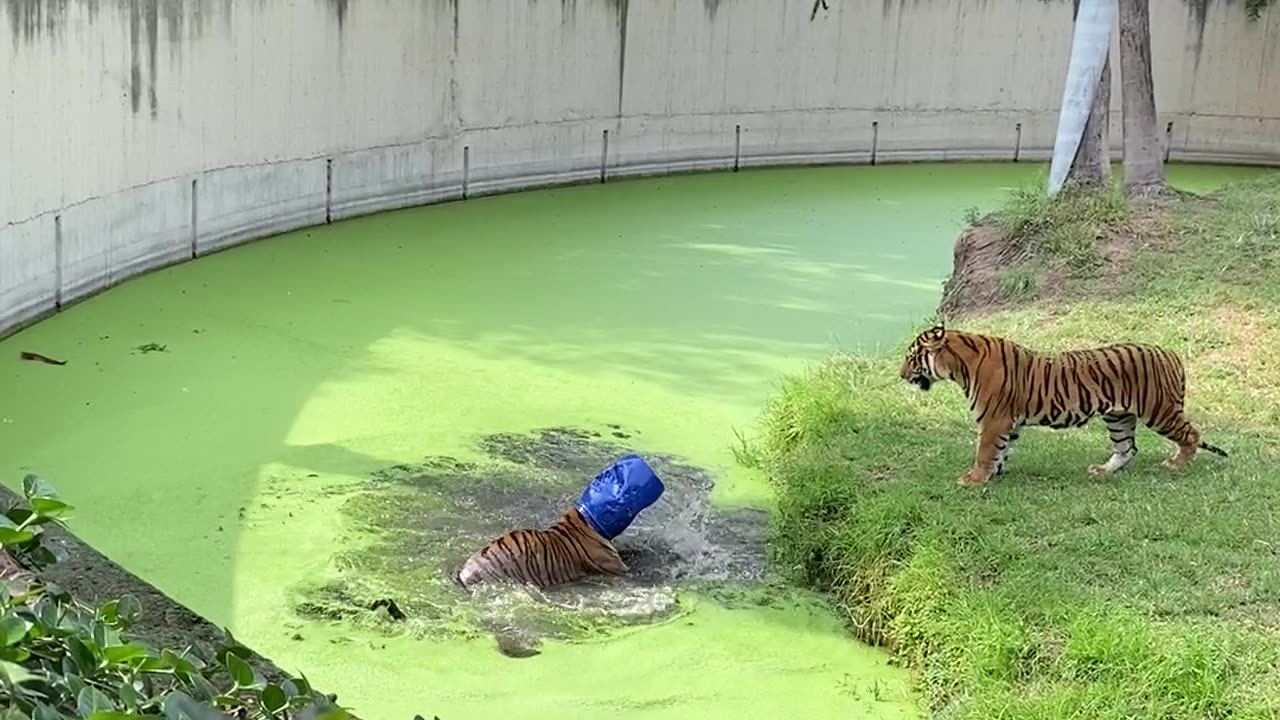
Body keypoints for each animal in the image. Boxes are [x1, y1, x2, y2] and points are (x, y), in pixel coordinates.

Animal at [896, 324, 1223, 481]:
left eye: (911, 358)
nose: (901, 375)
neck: (959, 366)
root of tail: (1171, 353)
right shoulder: (1009, 422)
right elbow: (1001, 451)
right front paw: (993, 474)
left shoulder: (994, 420)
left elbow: (985, 451)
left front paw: (973, 479)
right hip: (1118, 416)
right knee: (1127, 448)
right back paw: (1102, 472)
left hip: (1160, 411)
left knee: (1192, 435)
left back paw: (1176, 465)